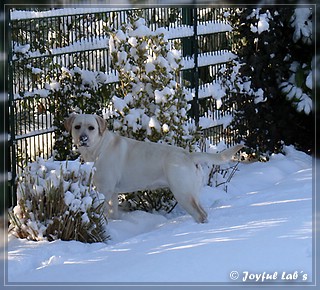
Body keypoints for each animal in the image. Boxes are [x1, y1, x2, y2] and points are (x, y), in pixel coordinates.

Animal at [64, 113, 242, 222]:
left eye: (91, 127)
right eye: (77, 126)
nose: (83, 138)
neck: (98, 149)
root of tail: (189, 155)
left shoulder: (105, 190)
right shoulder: (113, 192)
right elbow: (113, 213)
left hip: (182, 193)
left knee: (200, 215)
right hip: (192, 192)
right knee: (204, 212)